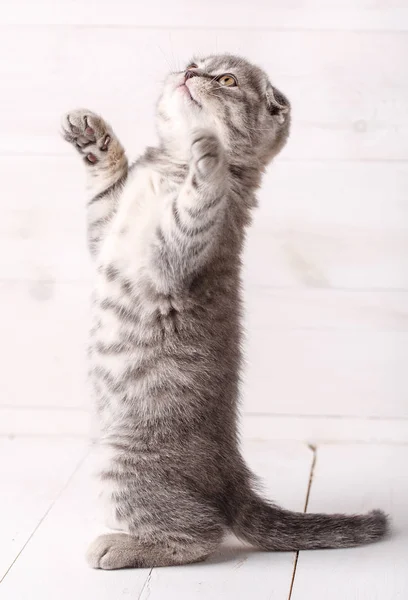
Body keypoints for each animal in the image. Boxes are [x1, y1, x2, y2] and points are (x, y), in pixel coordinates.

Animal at [61, 54, 388, 568]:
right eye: (195, 61)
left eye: (227, 79)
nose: (189, 73)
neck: (171, 167)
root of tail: (231, 476)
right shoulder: (105, 234)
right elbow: (103, 194)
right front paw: (95, 138)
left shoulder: (173, 258)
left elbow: (197, 207)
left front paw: (209, 155)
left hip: (120, 460)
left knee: (200, 534)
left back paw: (121, 545)